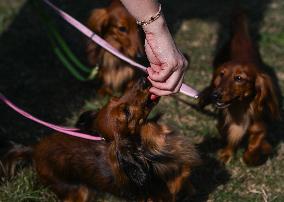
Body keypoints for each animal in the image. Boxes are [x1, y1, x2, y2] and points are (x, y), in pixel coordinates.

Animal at [200, 10, 280, 166]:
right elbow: (229, 135)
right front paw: (226, 153)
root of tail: (240, 36)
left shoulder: (259, 127)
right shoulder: (223, 123)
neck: (239, 108)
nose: (214, 95)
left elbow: (254, 146)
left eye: (239, 78)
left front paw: (254, 155)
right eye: (221, 74)